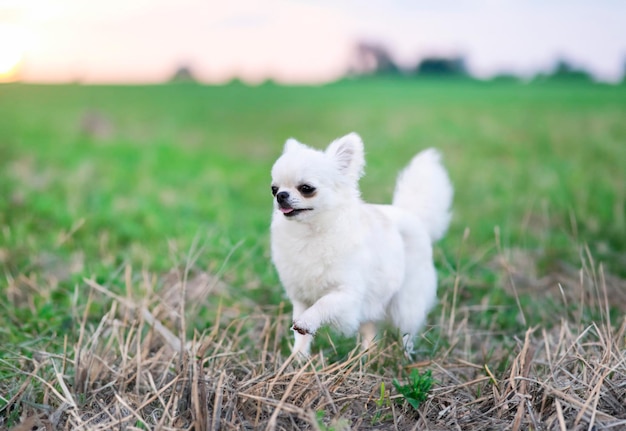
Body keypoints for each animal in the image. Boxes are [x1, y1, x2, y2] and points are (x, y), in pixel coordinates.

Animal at [268, 133, 448, 356]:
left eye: (306, 189)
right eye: (274, 189)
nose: (280, 195)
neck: (310, 233)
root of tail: (412, 215)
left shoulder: (347, 294)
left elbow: (322, 304)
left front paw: (307, 322)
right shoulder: (301, 298)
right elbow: (301, 335)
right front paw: (297, 357)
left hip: (406, 303)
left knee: (407, 331)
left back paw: (404, 356)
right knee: (370, 330)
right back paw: (367, 354)